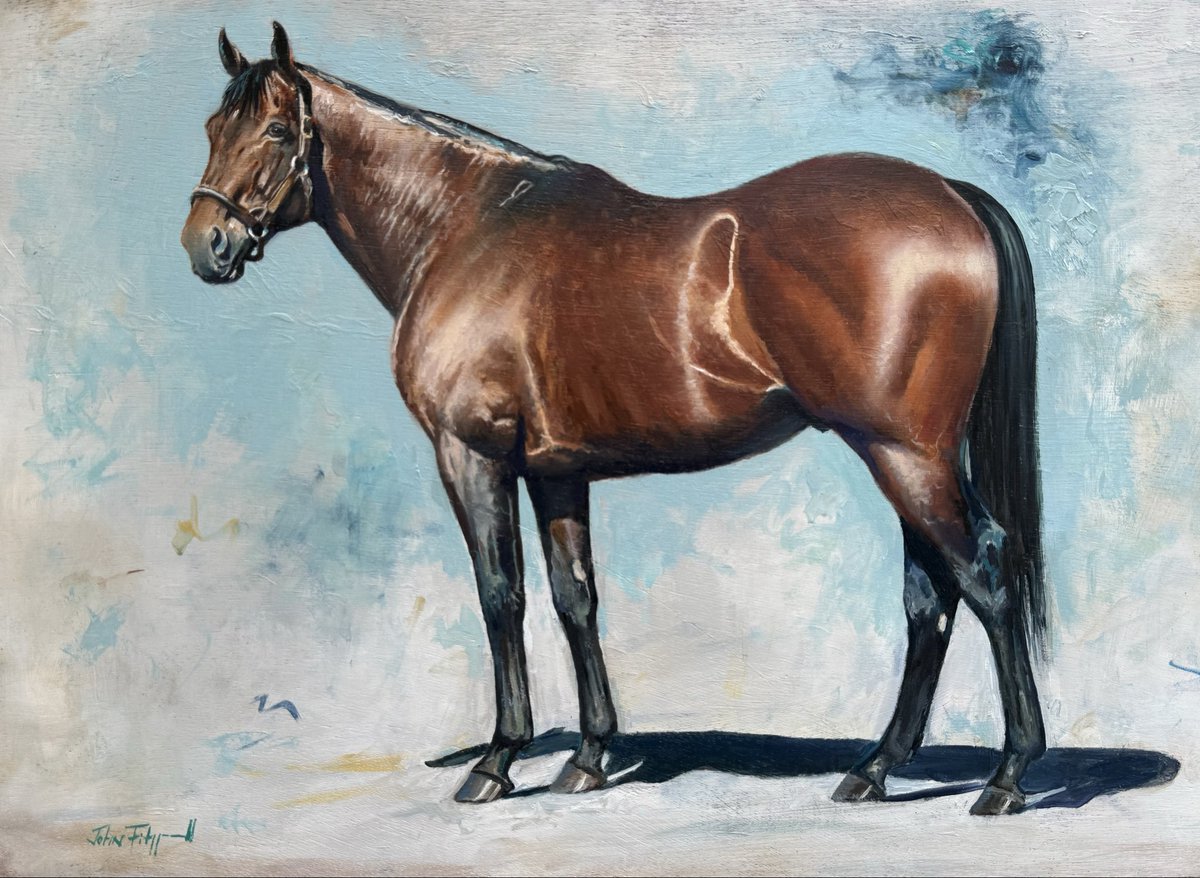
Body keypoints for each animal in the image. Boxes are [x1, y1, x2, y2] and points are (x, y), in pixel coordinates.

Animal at [181, 23, 1048, 816]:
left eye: (276, 131)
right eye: (212, 128)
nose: (205, 245)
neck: (463, 230)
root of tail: (952, 194)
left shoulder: (471, 456)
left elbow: (501, 596)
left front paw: (496, 762)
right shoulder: (557, 471)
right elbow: (576, 599)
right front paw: (589, 757)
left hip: (905, 454)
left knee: (984, 572)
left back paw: (1007, 776)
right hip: (900, 454)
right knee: (930, 599)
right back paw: (875, 770)